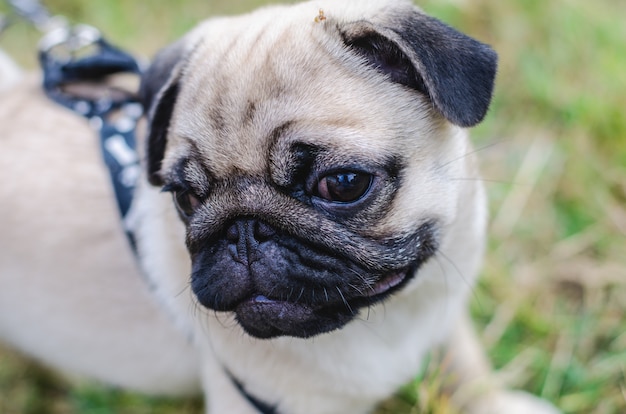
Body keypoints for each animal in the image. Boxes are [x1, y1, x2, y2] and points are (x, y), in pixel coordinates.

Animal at [0, 0, 556, 414]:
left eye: (343, 184)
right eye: (186, 198)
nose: (244, 231)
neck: (390, 317)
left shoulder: (444, 309)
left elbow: (466, 368)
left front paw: (496, 404)